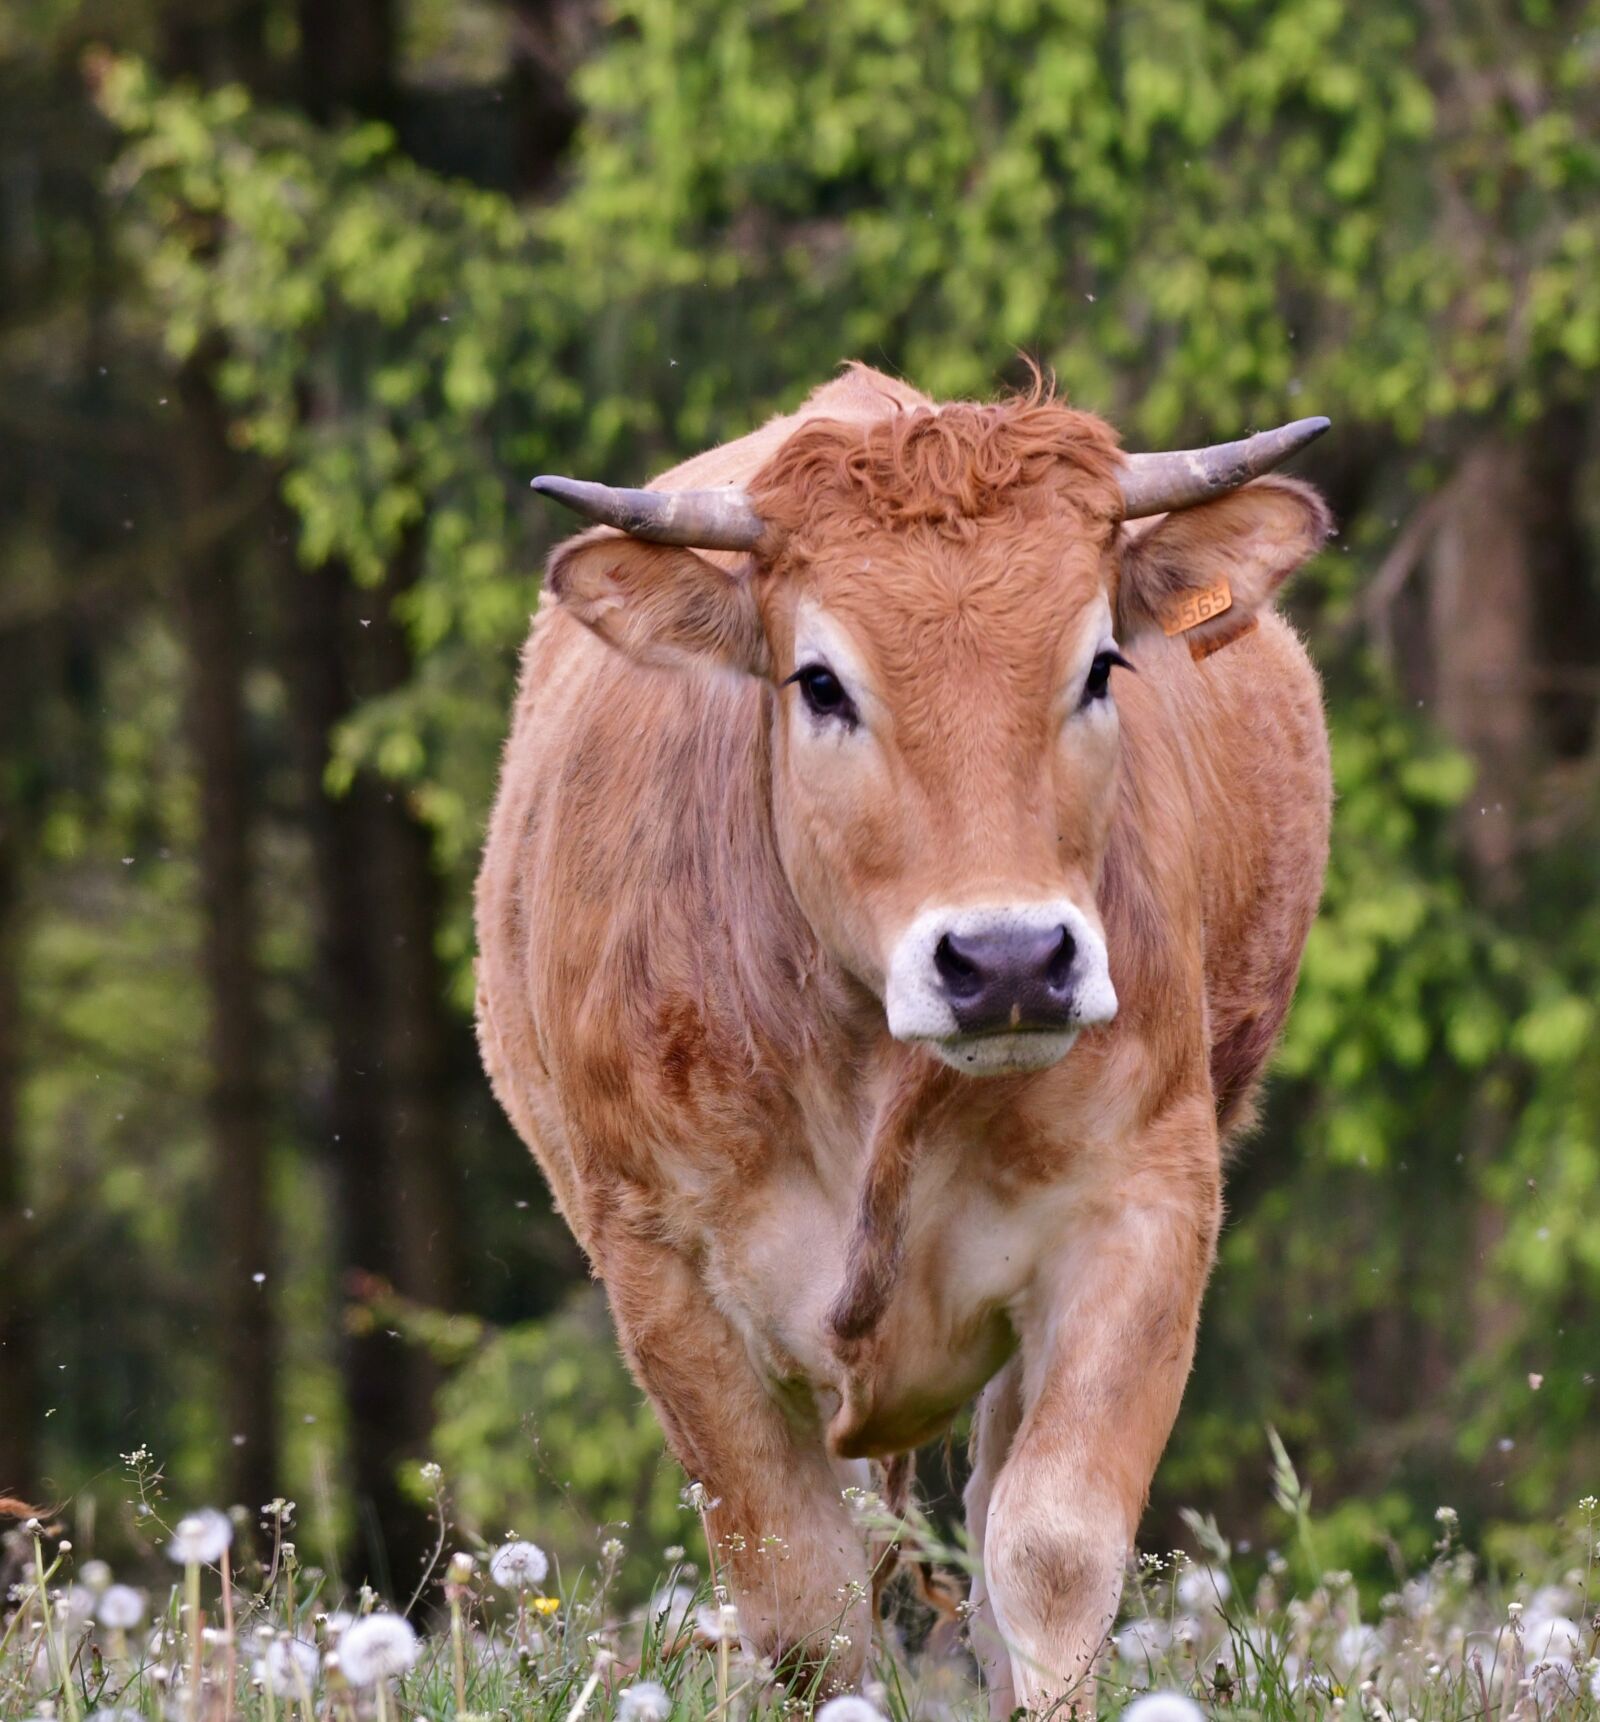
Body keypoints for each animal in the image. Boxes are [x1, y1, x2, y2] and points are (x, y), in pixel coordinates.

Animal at [474, 363, 1333, 1714]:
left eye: (1099, 666)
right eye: (821, 682)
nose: (1008, 961)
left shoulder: (1144, 1203)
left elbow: (1047, 1549)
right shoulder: (660, 1266)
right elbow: (799, 1601)